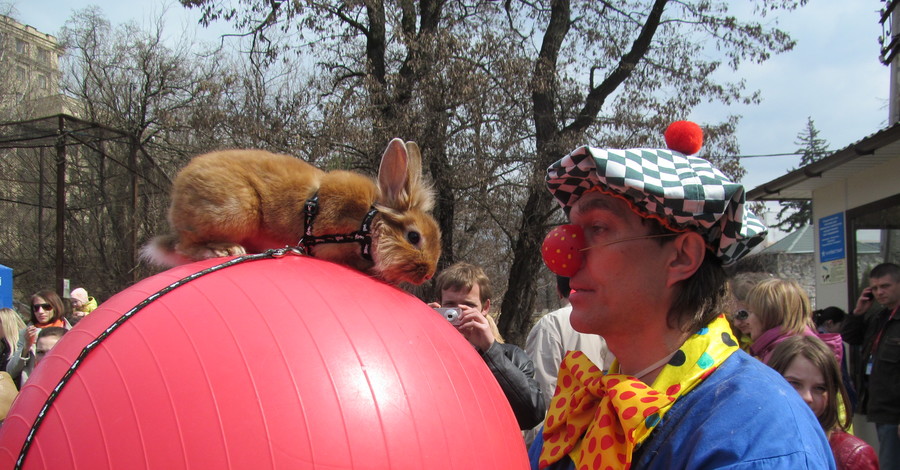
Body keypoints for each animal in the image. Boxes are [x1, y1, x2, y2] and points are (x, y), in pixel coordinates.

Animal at [140, 138, 442, 284]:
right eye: (414, 237)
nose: (428, 274)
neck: (367, 225)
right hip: (234, 211)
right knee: (185, 245)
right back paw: (223, 250)